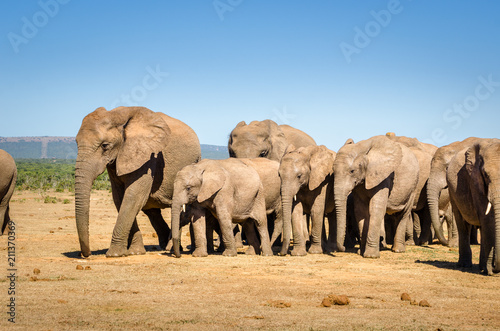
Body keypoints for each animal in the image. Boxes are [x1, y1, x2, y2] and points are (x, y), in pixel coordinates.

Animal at [74, 107, 199, 258]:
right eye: (76, 143)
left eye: (104, 146)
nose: (86, 254)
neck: (117, 115)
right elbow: (119, 198)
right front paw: (135, 252)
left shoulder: (148, 157)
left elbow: (133, 196)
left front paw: (114, 254)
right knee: (151, 209)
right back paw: (164, 245)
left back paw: (170, 248)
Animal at [448, 138, 500, 274]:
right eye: (485, 175)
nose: (495, 268)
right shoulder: (475, 181)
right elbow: (488, 219)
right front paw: (489, 270)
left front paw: (488, 269)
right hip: (452, 191)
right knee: (463, 225)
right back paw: (465, 265)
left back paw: (481, 267)